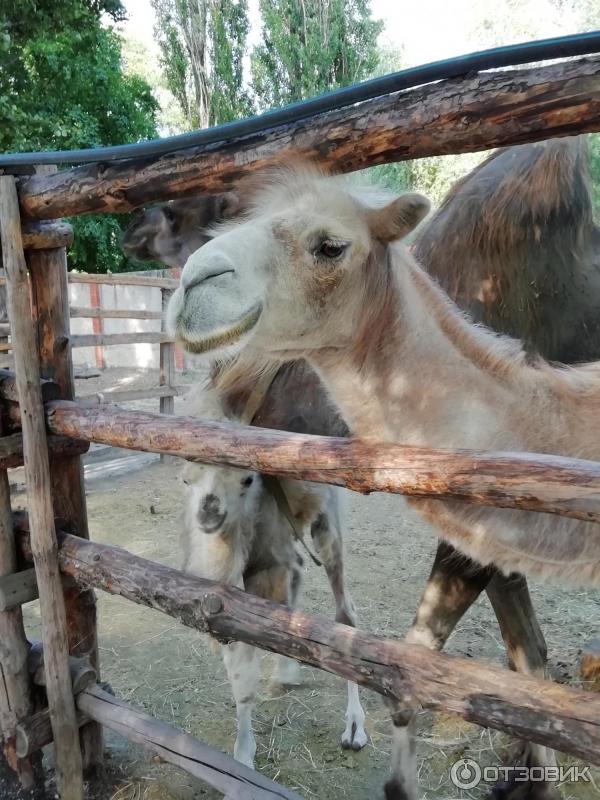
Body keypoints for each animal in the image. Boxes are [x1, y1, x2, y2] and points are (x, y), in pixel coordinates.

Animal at [180, 384, 366, 764]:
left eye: (248, 478)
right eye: (186, 479)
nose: (209, 513)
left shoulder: (264, 565)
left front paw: (242, 759)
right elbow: (241, 665)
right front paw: (242, 754)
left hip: (328, 518)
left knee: (345, 611)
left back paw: (354, 727)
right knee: (297, 573)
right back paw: (286, 673)